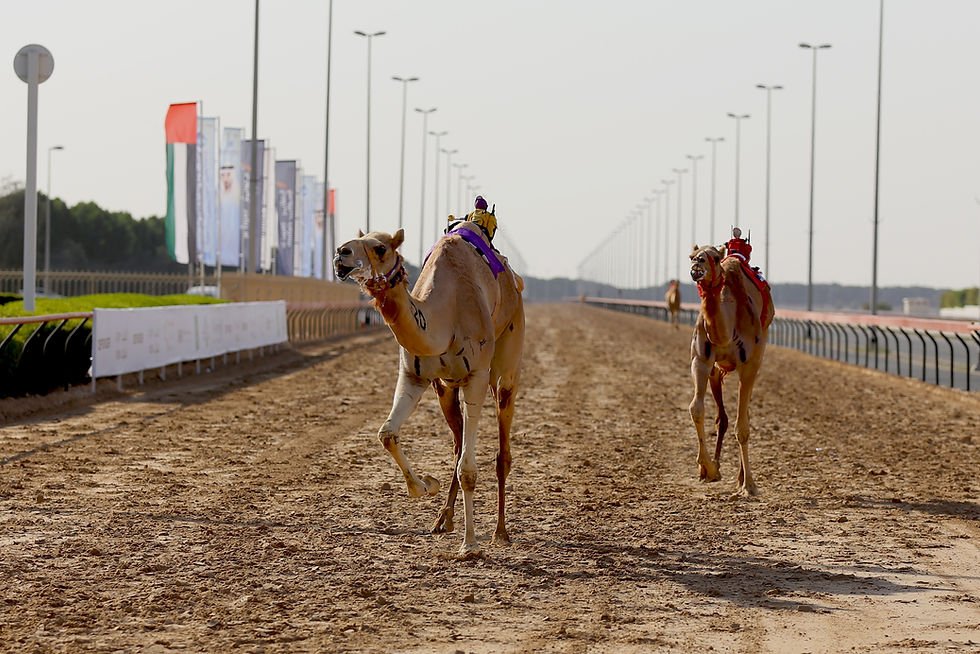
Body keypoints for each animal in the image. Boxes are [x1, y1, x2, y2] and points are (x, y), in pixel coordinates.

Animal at [333, 222, 525, 556]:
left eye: (381, 247)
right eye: (359, 239)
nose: (341, 253)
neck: (443, 315)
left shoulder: (476, 375)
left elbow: (468, 470)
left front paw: (470, 545)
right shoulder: (414, 375)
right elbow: (387, 434)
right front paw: (423, 486)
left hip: (506, 364)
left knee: (502, 452)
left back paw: (500, 532)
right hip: (445, 388)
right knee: (458, 446)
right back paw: (443, 520)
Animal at [687, 231, 773, 497]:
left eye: (715, 257)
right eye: (692, 256)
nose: (697, 267)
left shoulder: (750, 366)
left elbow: (742, 426)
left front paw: (749, 485)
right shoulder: (701, 361)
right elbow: (696, 409)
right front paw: (706, 468)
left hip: (757, 358)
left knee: (742, 416)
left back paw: (741, 478)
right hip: (717, 371)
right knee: (722, 418)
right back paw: (716, 467)